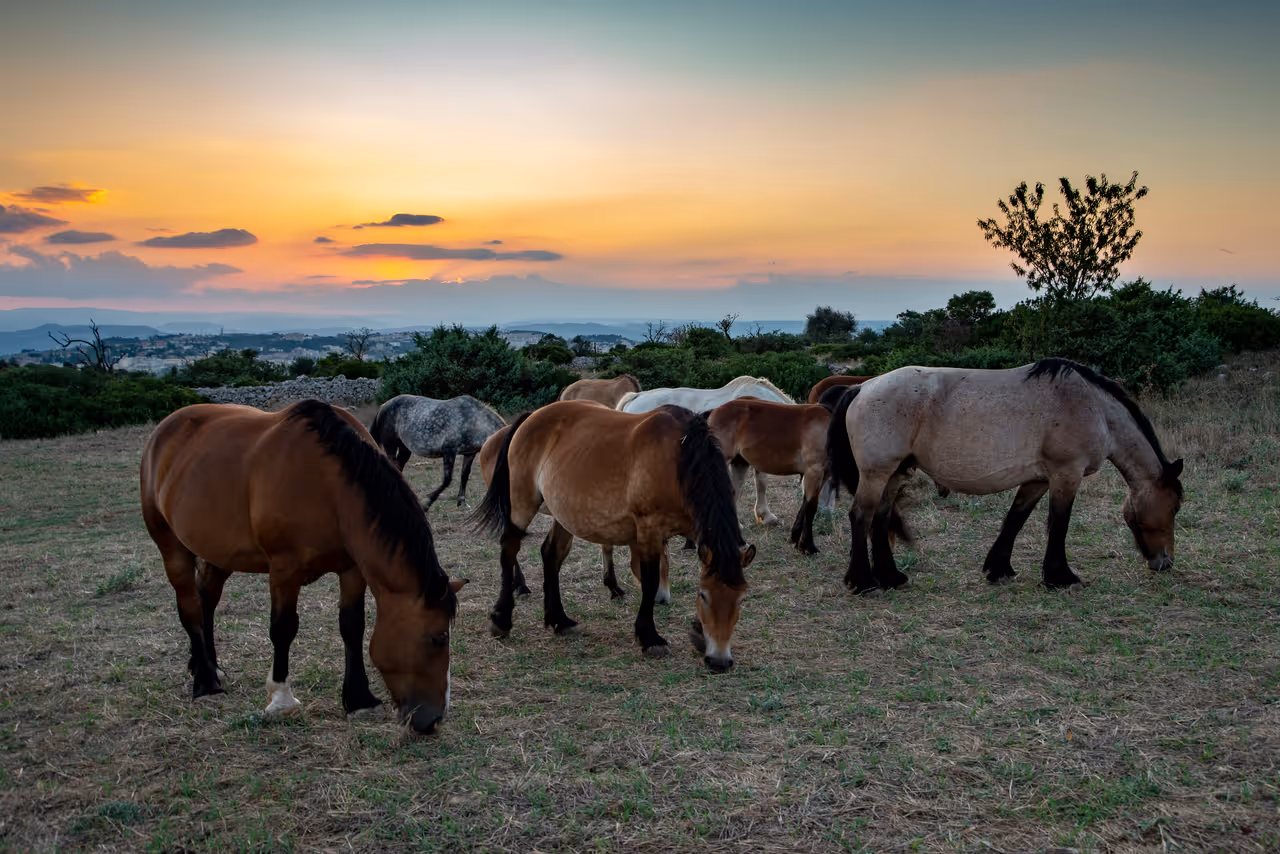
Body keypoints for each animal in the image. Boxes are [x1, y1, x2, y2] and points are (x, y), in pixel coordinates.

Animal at [139, 400, 467, 734]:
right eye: (437, 638)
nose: (433, 719)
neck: (328, 485)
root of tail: (164, 430)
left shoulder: (352, 569)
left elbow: (352, 626)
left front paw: (359, 699)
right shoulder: (284, 570)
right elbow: (283, 628)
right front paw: (281, 700)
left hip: (220, 553)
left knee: (207, 599)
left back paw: (208, 665)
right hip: (171, 546)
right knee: (190, 606)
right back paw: (205, 683)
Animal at [369, 394, 506, 510]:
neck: (474, 421)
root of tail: (383, 406)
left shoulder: (469, 454)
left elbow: (464, 475)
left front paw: (462, 502)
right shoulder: (449, 451)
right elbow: (447, 480)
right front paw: (426, 503)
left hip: (404, 449)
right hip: (390, 445)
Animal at [472, 400, 755, 672]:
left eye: (741, 600)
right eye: (704, 597)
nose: (719, 661)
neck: (679, 457)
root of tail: (531, 417)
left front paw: (698, 633)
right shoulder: (649, 530)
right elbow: (651, 582)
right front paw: (650, 637)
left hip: (563, 513)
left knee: (551, 555)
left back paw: (559, 620)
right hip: (522, 503)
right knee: (509, 549)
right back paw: (501, 619)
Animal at [825, 358, 1184, 594]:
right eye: (1176, 507)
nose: (1165, 563)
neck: (1093, 406)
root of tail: (861, 387)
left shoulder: (1037, 480)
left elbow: (1015, 519)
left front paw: (999, 569)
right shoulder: (1066, 474)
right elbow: (1059, 523)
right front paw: (1060, 577)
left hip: (893, 474)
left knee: (881, 517)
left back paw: (891, 577)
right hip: (877, 473)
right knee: (861, 515)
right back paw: (862, 581)